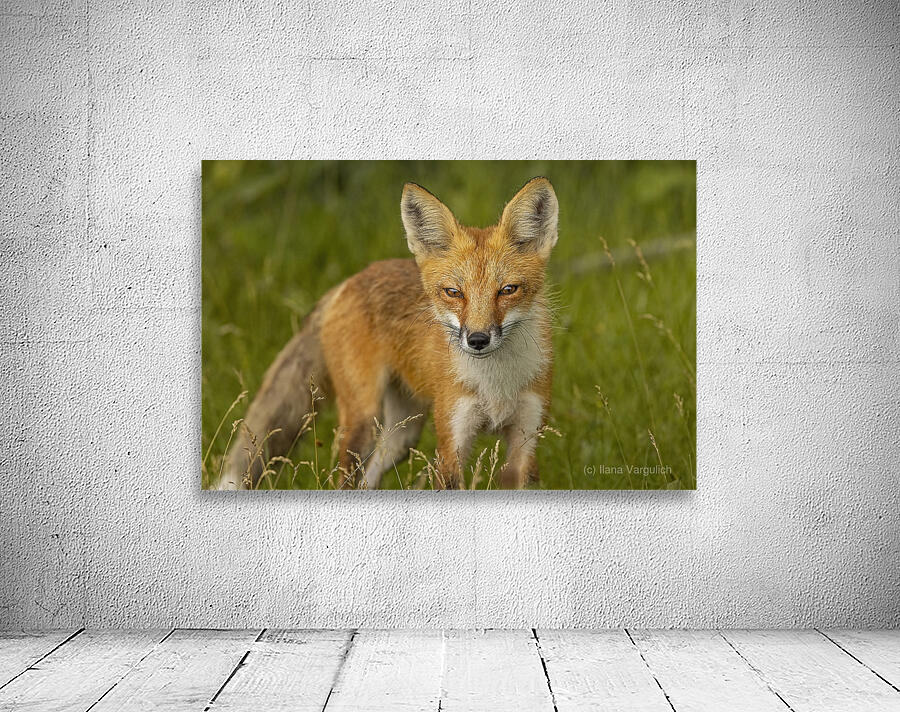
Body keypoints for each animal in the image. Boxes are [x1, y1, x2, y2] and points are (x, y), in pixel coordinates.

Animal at [216, 176, 558, 490]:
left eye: (508, 290)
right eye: (453, 292)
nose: (477, 339)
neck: (496, 386)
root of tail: (349, 281)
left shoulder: (525, 441)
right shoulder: (452, 444)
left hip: (402, 435)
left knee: (371, 477)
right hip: (363, 422)